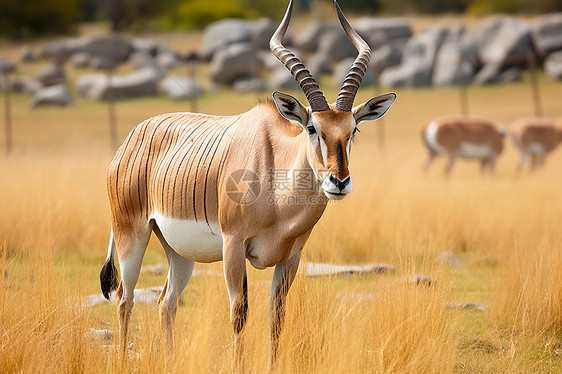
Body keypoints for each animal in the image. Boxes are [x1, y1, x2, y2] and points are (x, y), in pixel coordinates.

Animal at [97, 0, 394, 368]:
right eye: (312, 128)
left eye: (353, 130)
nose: (339, 181)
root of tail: (131, 139)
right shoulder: (234, 247)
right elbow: (239, 313)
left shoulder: (291, 257)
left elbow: (277, 315)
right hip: (131, 234)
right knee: (125, 297)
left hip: (179, 252)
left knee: (166, 301)